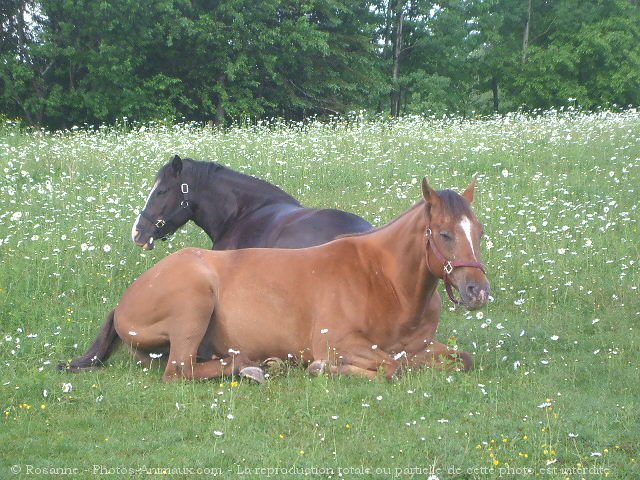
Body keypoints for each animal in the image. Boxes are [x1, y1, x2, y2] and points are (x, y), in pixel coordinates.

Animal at [61, 178, 490, 380]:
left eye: (480, 231)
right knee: (179, 371)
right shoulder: (339, 343)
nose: (477, 291)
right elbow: (391, 367)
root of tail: (124, 301)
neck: (384, 281)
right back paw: (253, 367)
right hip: (193, 303)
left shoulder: (422, 346)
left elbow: (459, 360)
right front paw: (322, 369)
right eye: (445, 234)